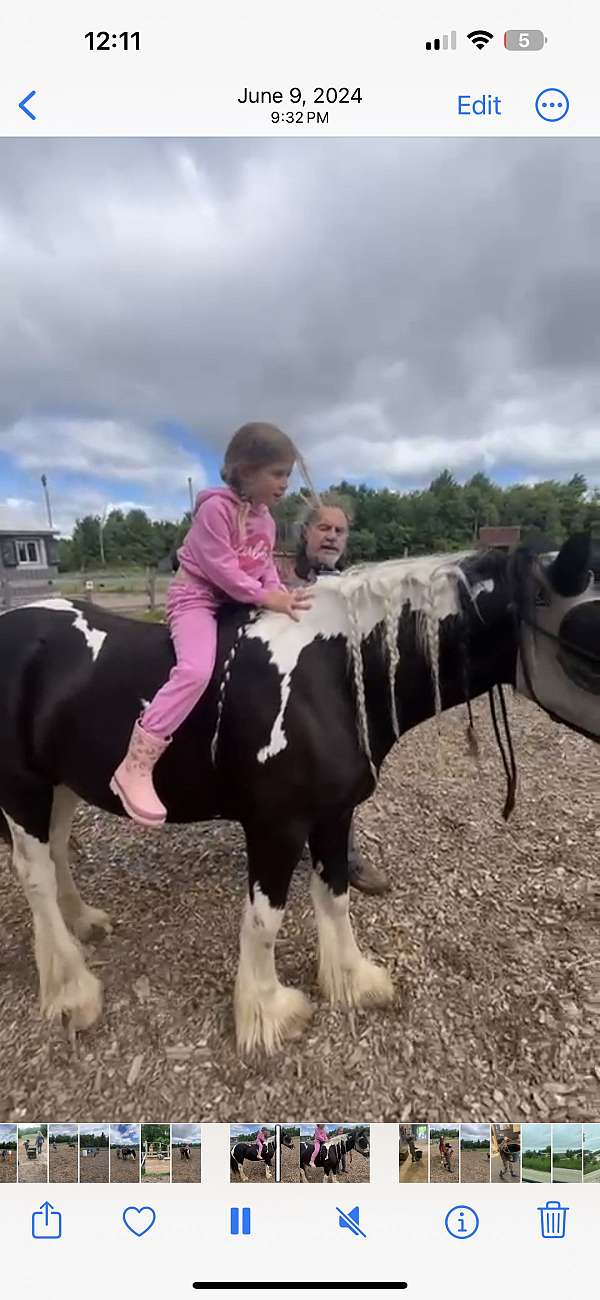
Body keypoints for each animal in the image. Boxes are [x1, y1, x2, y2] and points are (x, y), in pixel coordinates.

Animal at [1, 533, 600, 1050]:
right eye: (586, 636)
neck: (329, 677)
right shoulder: (277, 826)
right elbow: (265, 920)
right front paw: (268, 1013)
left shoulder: (334, 814)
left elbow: (334, 896)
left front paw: (352, 981)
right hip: (23, 790)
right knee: (35, 877)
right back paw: (72, 992)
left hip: (62, 784)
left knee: (56, 854)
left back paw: (84, 923)